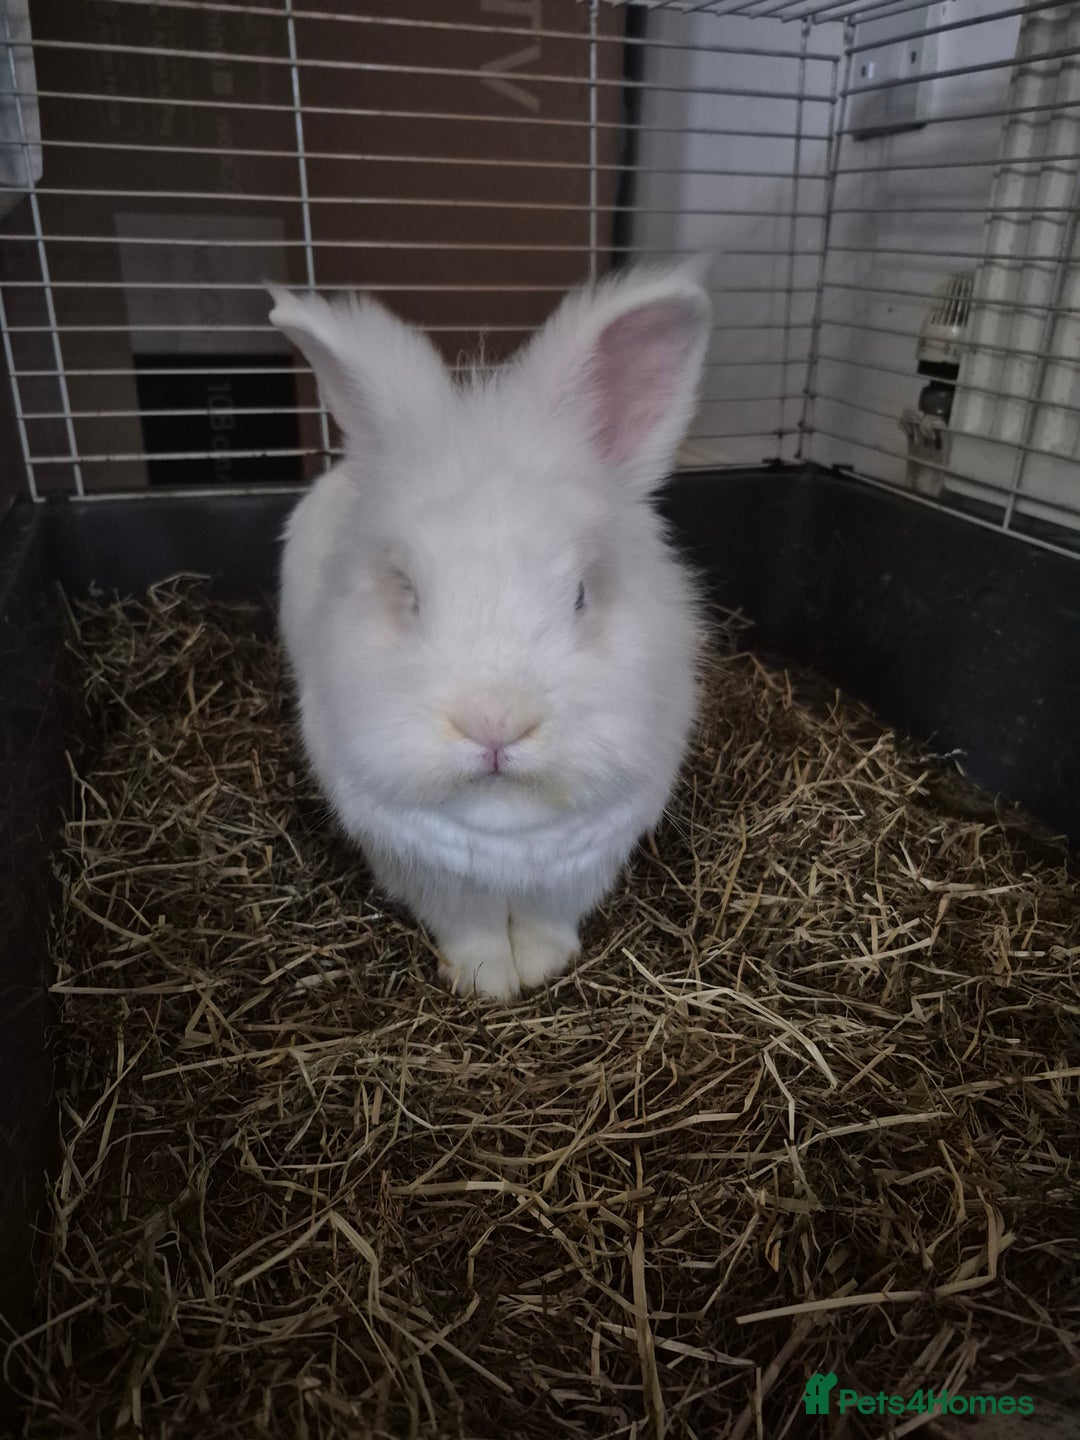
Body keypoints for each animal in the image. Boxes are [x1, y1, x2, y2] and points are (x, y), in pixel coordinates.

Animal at [271, 263, 712, 1001]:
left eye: (581, 593)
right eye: (410, 593)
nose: (494, 723)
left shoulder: (575, 873)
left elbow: (547, 924)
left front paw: (543, 968)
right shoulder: (438, 879)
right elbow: (470, 929)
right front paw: (487, 983)